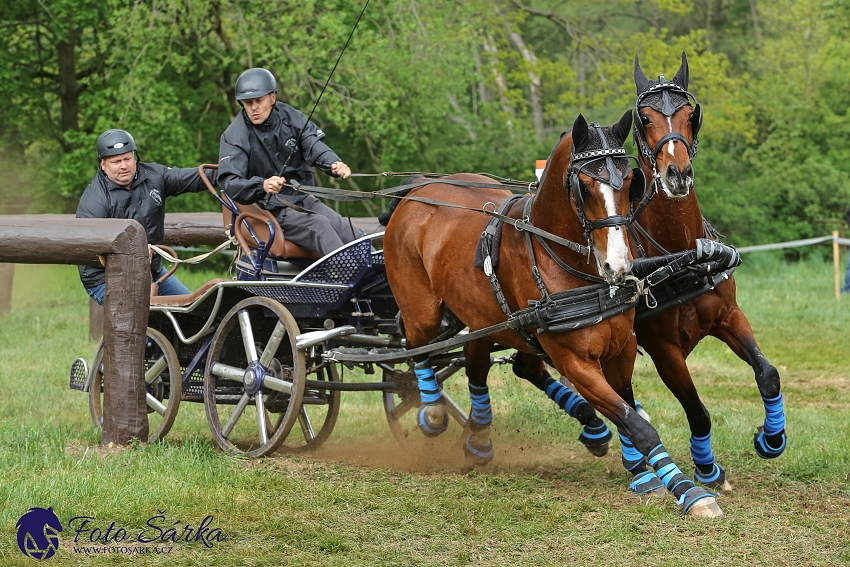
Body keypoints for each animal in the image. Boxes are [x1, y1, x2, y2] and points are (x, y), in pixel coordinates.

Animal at [384, 111, 724, 520]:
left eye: (630, 182)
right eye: (585, 187)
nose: (619, 265)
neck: (564, 259)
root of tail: (415, 194)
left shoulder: (621, 348)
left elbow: (629, 411)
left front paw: (643, 473)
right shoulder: (575, 362)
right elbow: (637, 424)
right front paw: (688, 491)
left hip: (484, 317)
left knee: (480, 367)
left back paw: (481, 437)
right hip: (421, 310)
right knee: (416, 347)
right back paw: (433, 411)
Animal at [624, 51, 788, 490]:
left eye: (688, 114)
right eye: (643, 117)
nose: (677, 174)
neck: (683, 256)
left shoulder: (729, 316)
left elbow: (767, 373)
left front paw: (771, 439)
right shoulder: (665, 350)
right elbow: (697, 411)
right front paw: (707, 469)